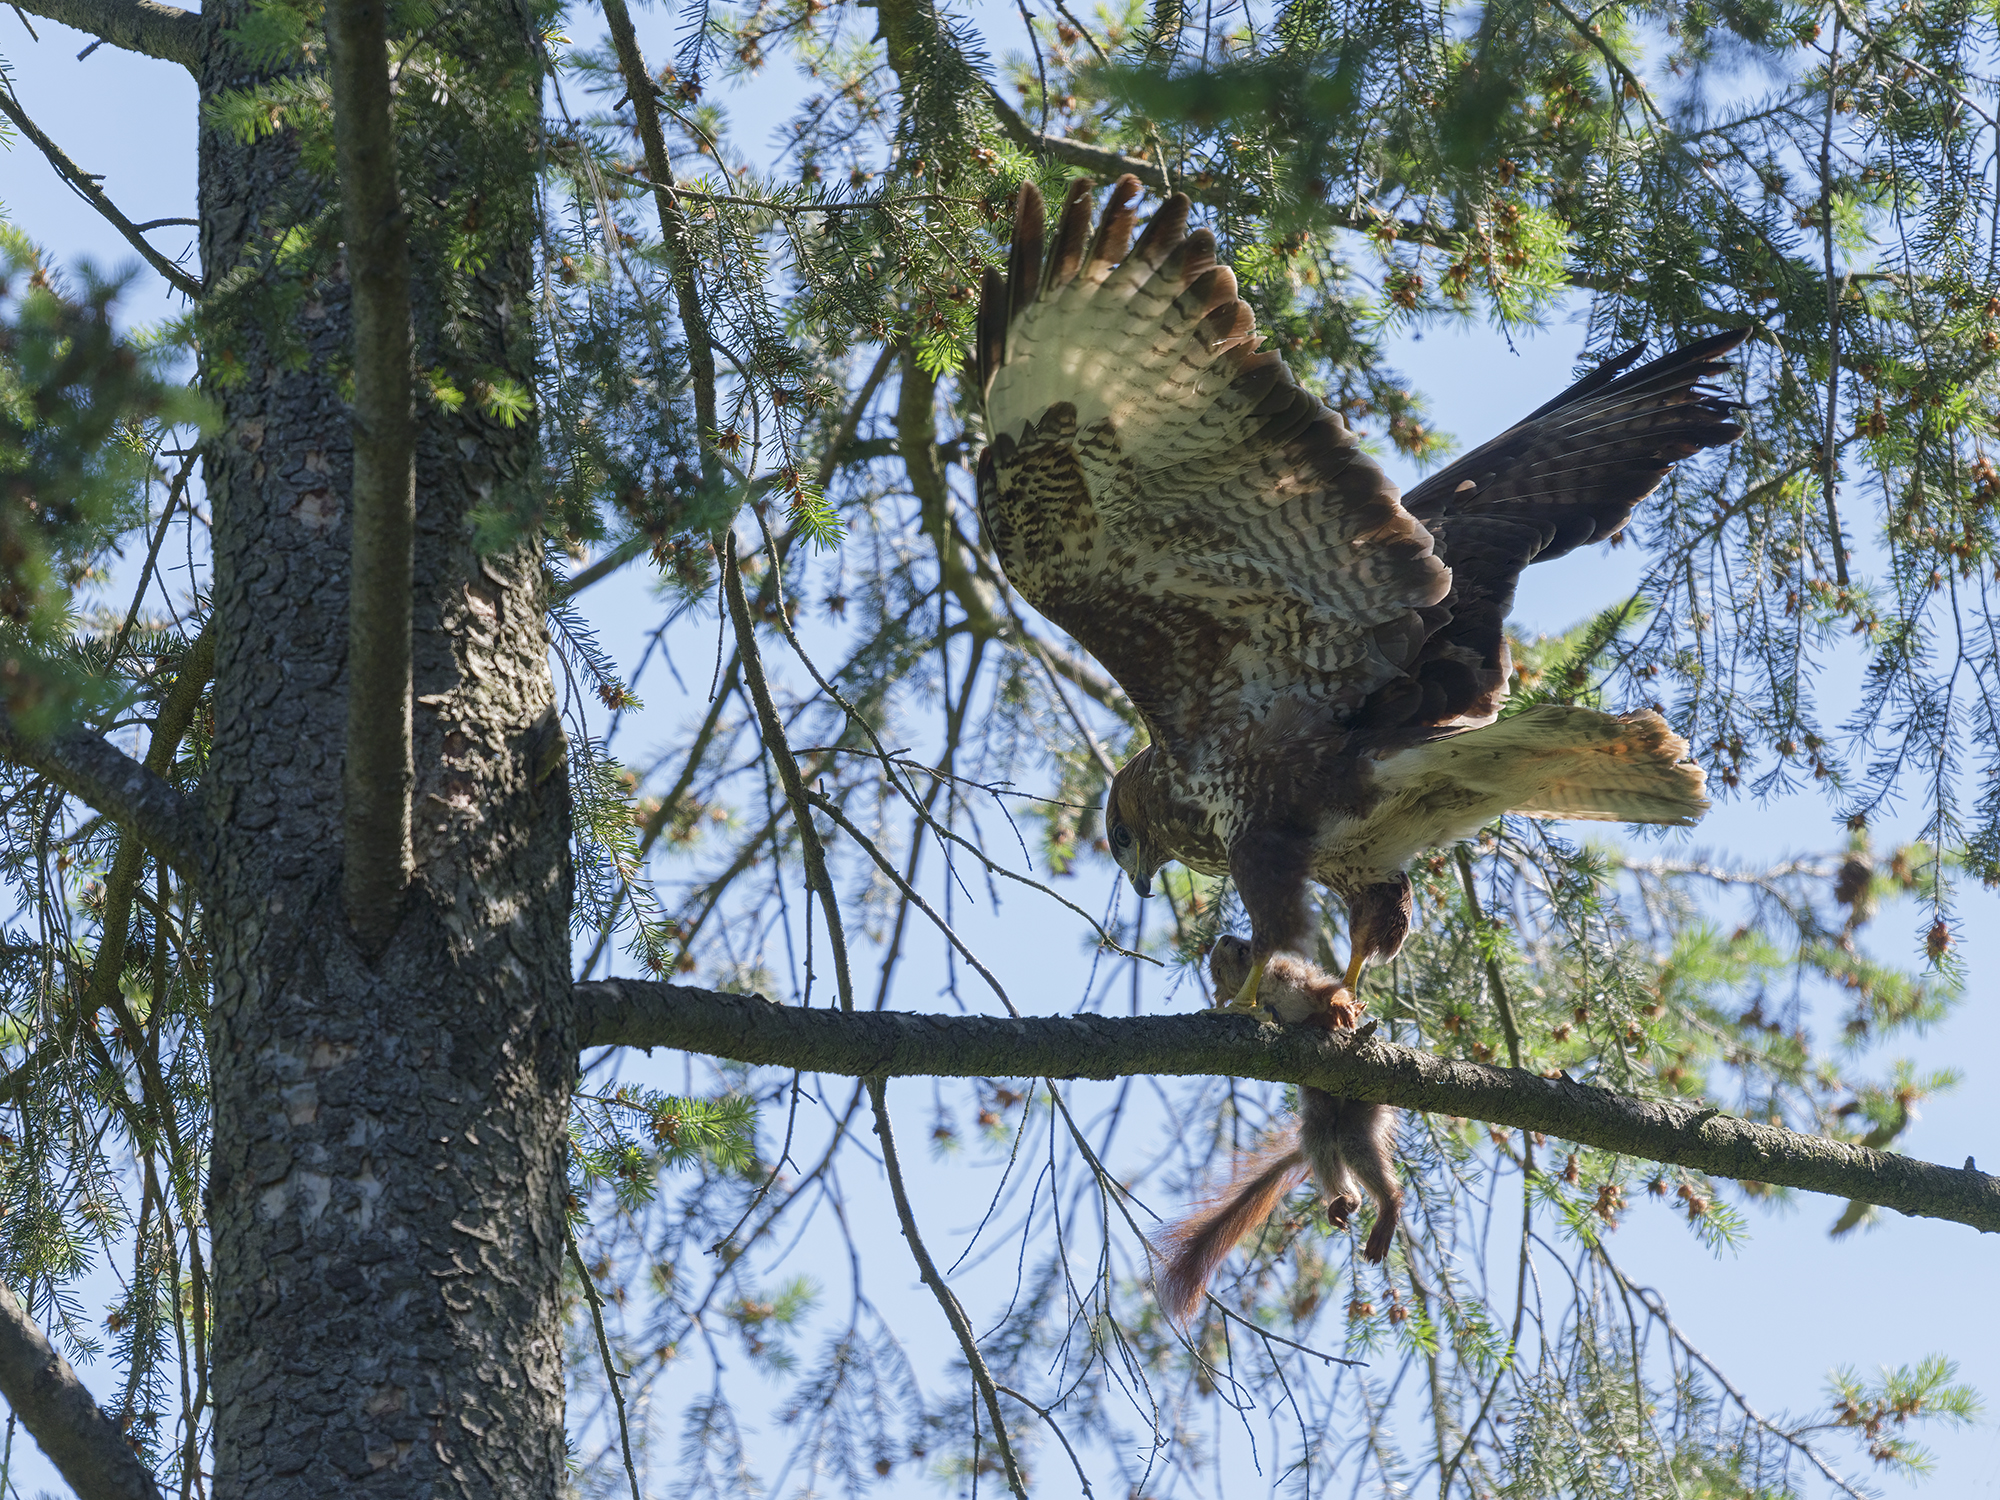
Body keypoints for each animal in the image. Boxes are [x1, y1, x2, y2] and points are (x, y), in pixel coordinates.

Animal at [1155, 939, 1402, 1323]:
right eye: (1219, 969)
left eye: (1242, 946)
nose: (1225, 940)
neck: (1267, 987)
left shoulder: (1300, 976)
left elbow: (1330, 990)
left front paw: (1342, 1011)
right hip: (1321, 1112)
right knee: (1325, 1138)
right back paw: (1345, 1201)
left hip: (1364, 1103)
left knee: (1356, 1144)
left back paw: (1387, 1208)